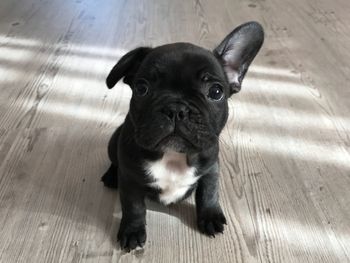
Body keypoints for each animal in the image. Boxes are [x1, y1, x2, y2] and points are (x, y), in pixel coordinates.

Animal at [100, 21, 262, 251]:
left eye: (215, 92)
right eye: (142, 88)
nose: (176, 109)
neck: (173, 156)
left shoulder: (211, 168)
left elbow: (209, 193)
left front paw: (210, 216)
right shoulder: (130, 179)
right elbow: (134, 207)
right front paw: (132, 231)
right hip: (114, 142)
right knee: (115, 162)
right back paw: (111, 175)